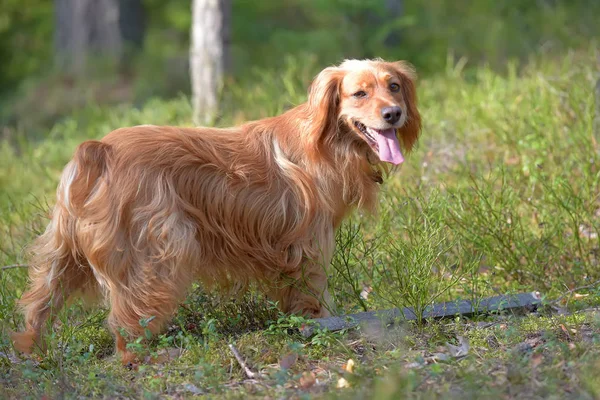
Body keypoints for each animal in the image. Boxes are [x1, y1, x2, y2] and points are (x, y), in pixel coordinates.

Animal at [11, 58, 420, 362]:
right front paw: (322, 326)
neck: (328, 142)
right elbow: (312, 293)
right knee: (127, 324)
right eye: (359, 93)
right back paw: (147, 356)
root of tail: (100, 149)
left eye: (394, 86)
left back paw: (31, 350)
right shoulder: (308, 242)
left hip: (63, 252)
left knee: (39, 304)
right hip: (159, 251)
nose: (393, 114)